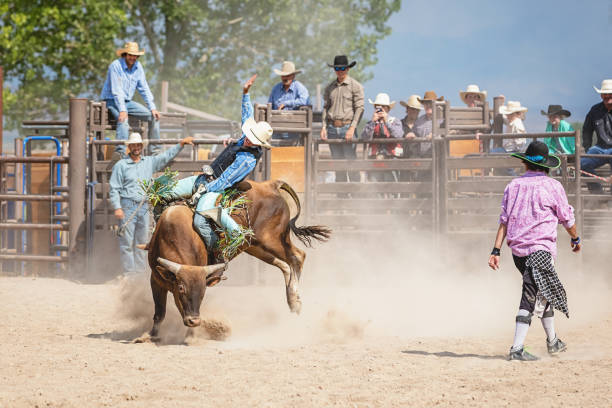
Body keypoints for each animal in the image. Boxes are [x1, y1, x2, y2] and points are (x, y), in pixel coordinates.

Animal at [137, 178, 332, 342]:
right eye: (181, 288)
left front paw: (190, 336)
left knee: (297, 257)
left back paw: (294, 300)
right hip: (254, 246)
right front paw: (148, 336)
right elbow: (159, 312)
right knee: (285, 265)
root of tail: (269, 185)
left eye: (203, 291)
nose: (194, 321)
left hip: (272, 240)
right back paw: (292, 301)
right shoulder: (156, 280)